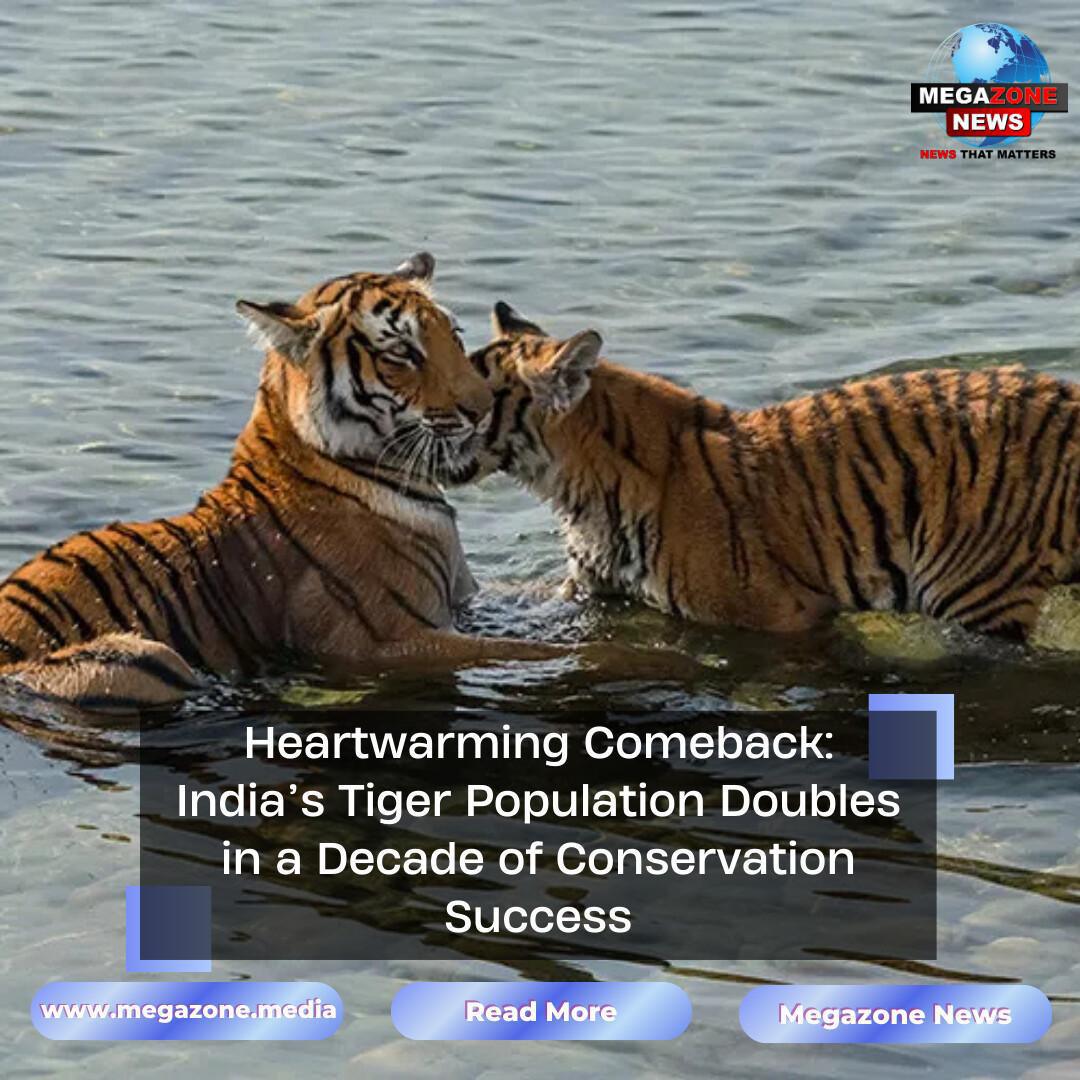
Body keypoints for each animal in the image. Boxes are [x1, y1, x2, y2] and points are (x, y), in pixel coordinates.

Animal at [0, 254, 562, 712]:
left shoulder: (468, 597)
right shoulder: (385, 643)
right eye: (402, 353)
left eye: (455, 336)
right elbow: (530, 650)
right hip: (145, 660)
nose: (483, 408)